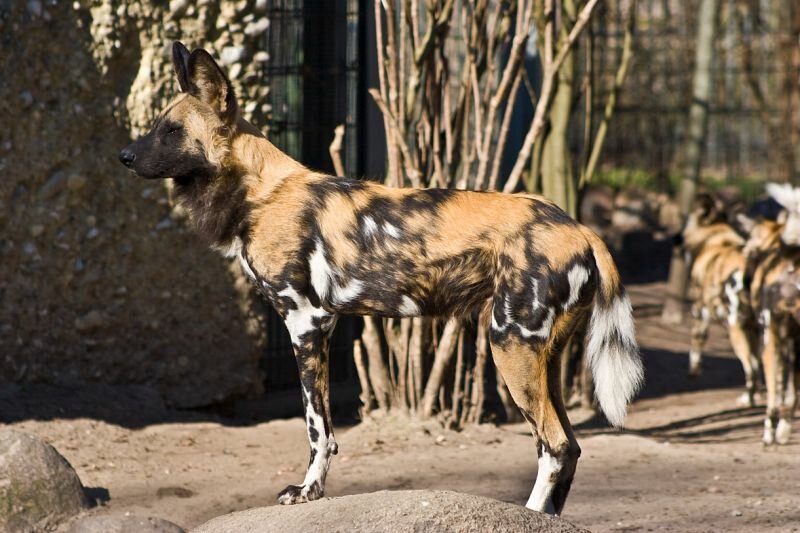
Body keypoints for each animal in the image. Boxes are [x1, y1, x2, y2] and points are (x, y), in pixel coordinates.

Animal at [117, 42, 644, 516]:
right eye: (157, 127)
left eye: (171, 130)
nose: (124, 155)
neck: (258, 191)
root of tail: (579, 226)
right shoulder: (318, 325)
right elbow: (322, 428)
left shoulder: (306, 323)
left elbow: (318, 429)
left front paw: (308, 493)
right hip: (540, 358)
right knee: (567, 445)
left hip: (509, 344)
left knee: (555, 444)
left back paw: (531, 513)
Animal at [680, 193, 764, 406]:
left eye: (686, 223)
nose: (676, 239)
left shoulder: (700, 309)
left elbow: (696, 342)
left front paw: (693, 371)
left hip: (735, 328)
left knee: (750, 365)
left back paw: (747, 399)